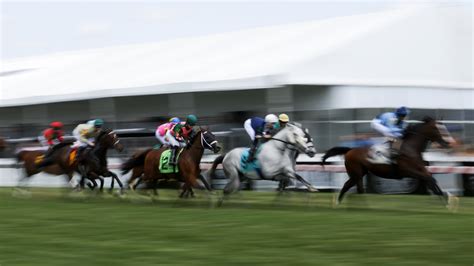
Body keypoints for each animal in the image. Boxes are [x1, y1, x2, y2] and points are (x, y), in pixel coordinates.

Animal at [320, 117, 458, 207]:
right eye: (439, 129)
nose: (449, 143)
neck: (410, 149)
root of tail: (350, 150)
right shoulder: (409, 171)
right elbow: (429, 179)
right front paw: (446, 200)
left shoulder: (421, 169)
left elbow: (431, 179)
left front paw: (446, 199)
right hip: (356, 173)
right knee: (349, 186)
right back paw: (345, 204)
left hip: (360, 173)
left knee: (355, 188)